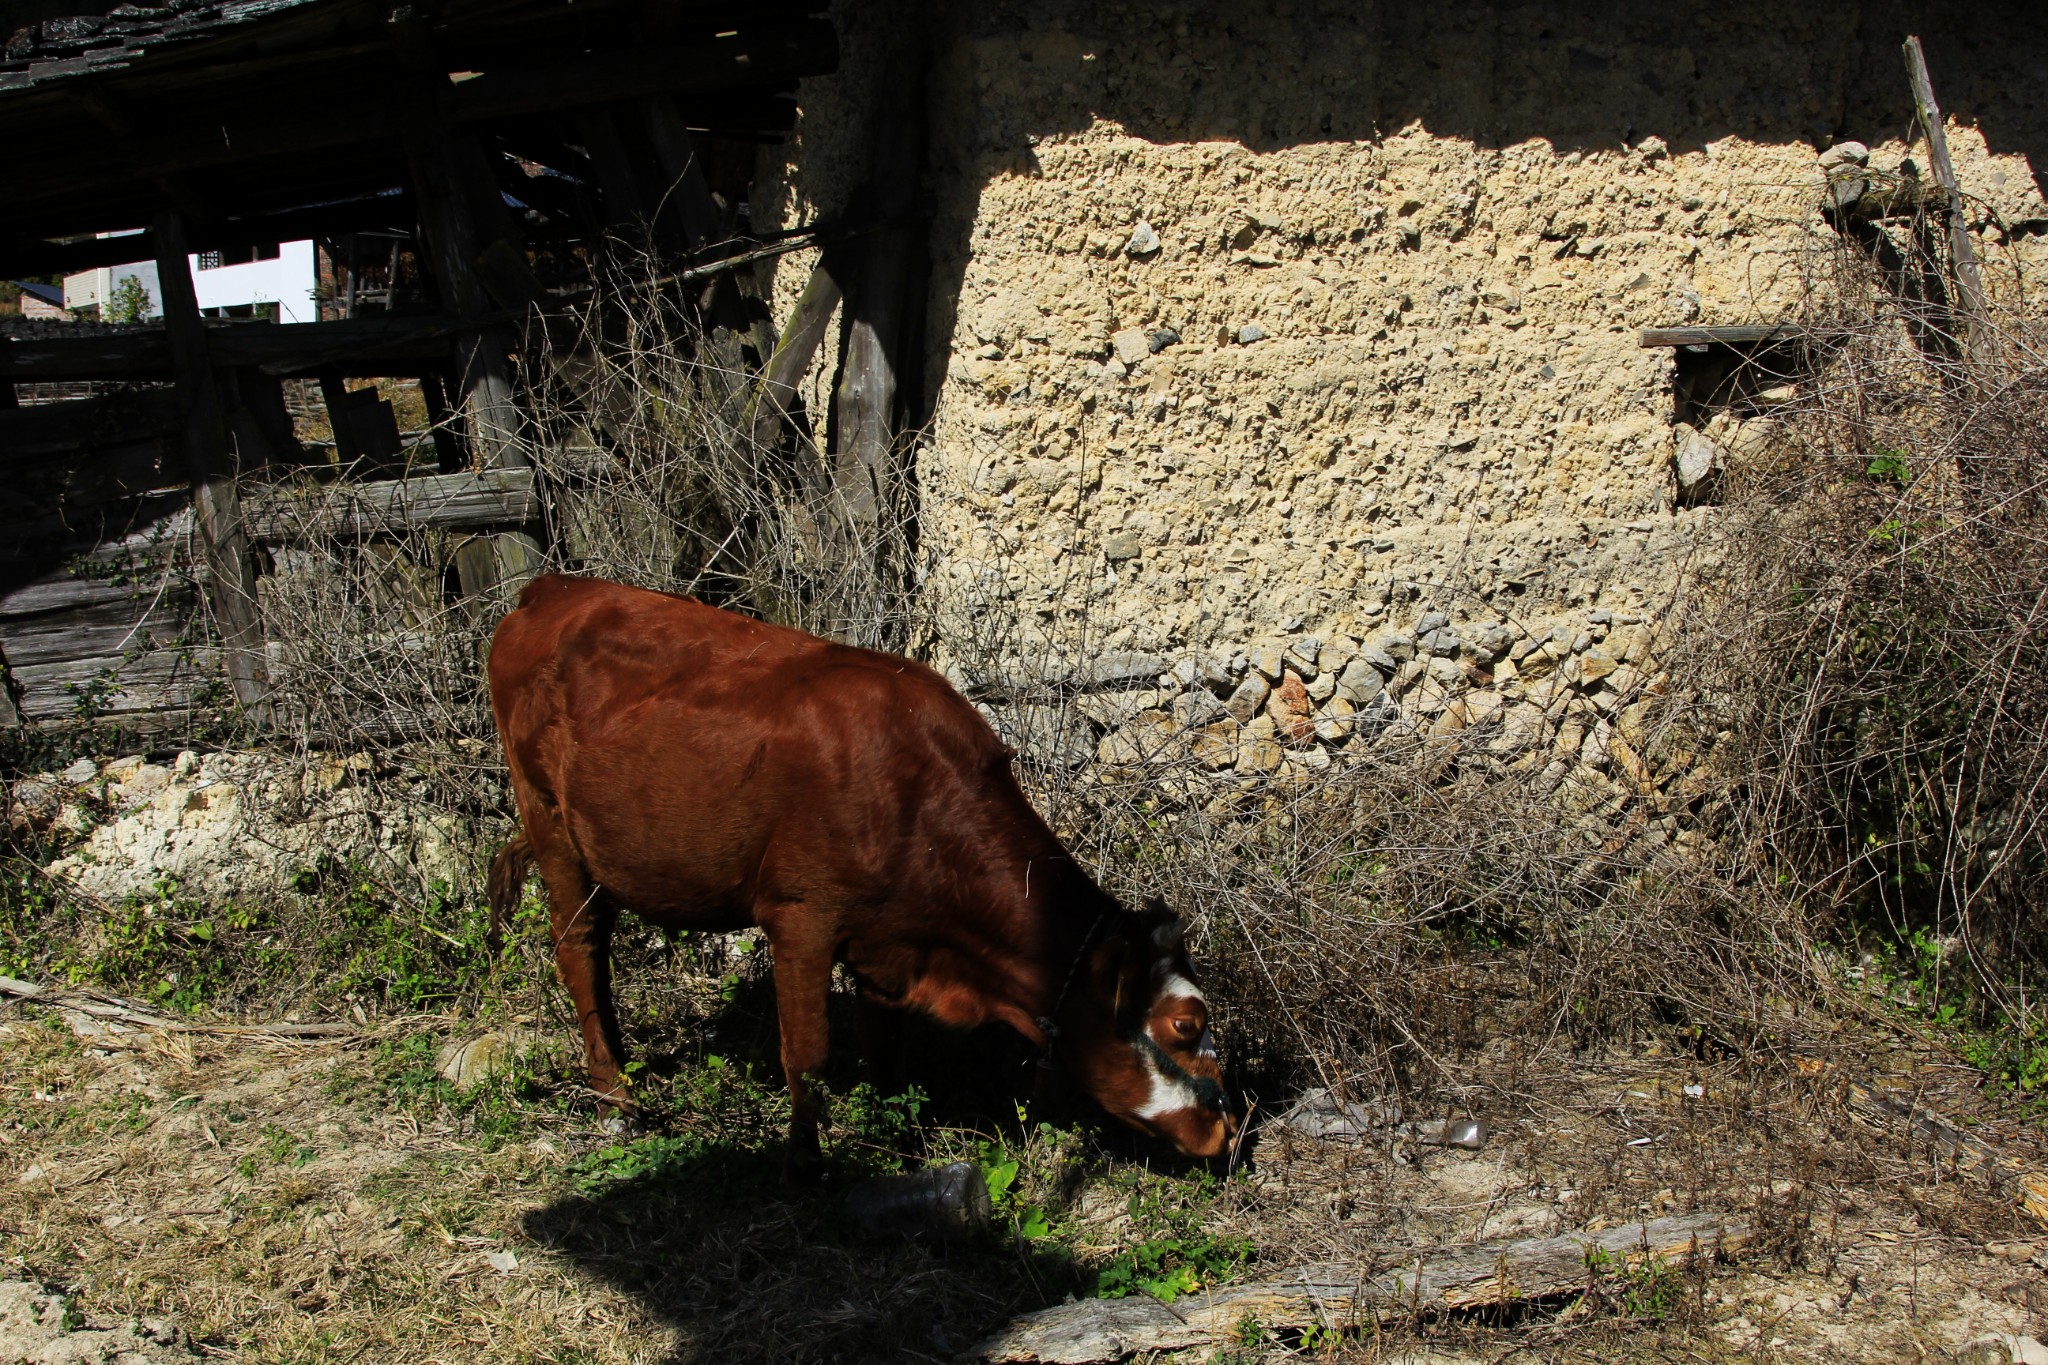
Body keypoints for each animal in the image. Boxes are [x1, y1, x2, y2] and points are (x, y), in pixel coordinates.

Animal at [483, 577, 1228, 1178]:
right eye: (1185, 1025)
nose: (1226, 1130)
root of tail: (552, 589)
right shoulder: (800, 917)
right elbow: (806, 1052)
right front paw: (808, 1164)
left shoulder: (888, 945)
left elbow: (886, 1044)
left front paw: (899, 1137)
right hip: (549, 822)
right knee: (580, 952)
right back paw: (615, 1096)